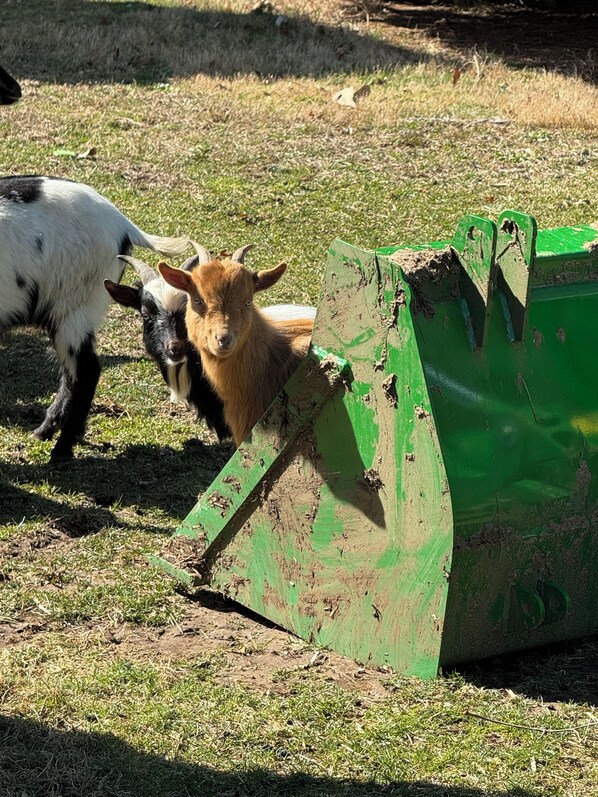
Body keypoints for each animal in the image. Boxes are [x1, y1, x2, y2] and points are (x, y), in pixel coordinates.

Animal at [0, 175, 188, 460]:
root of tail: (123, 224)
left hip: (74, 308)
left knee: (87, 372)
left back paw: (61, 449)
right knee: (72, 375)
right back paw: (45, 431)